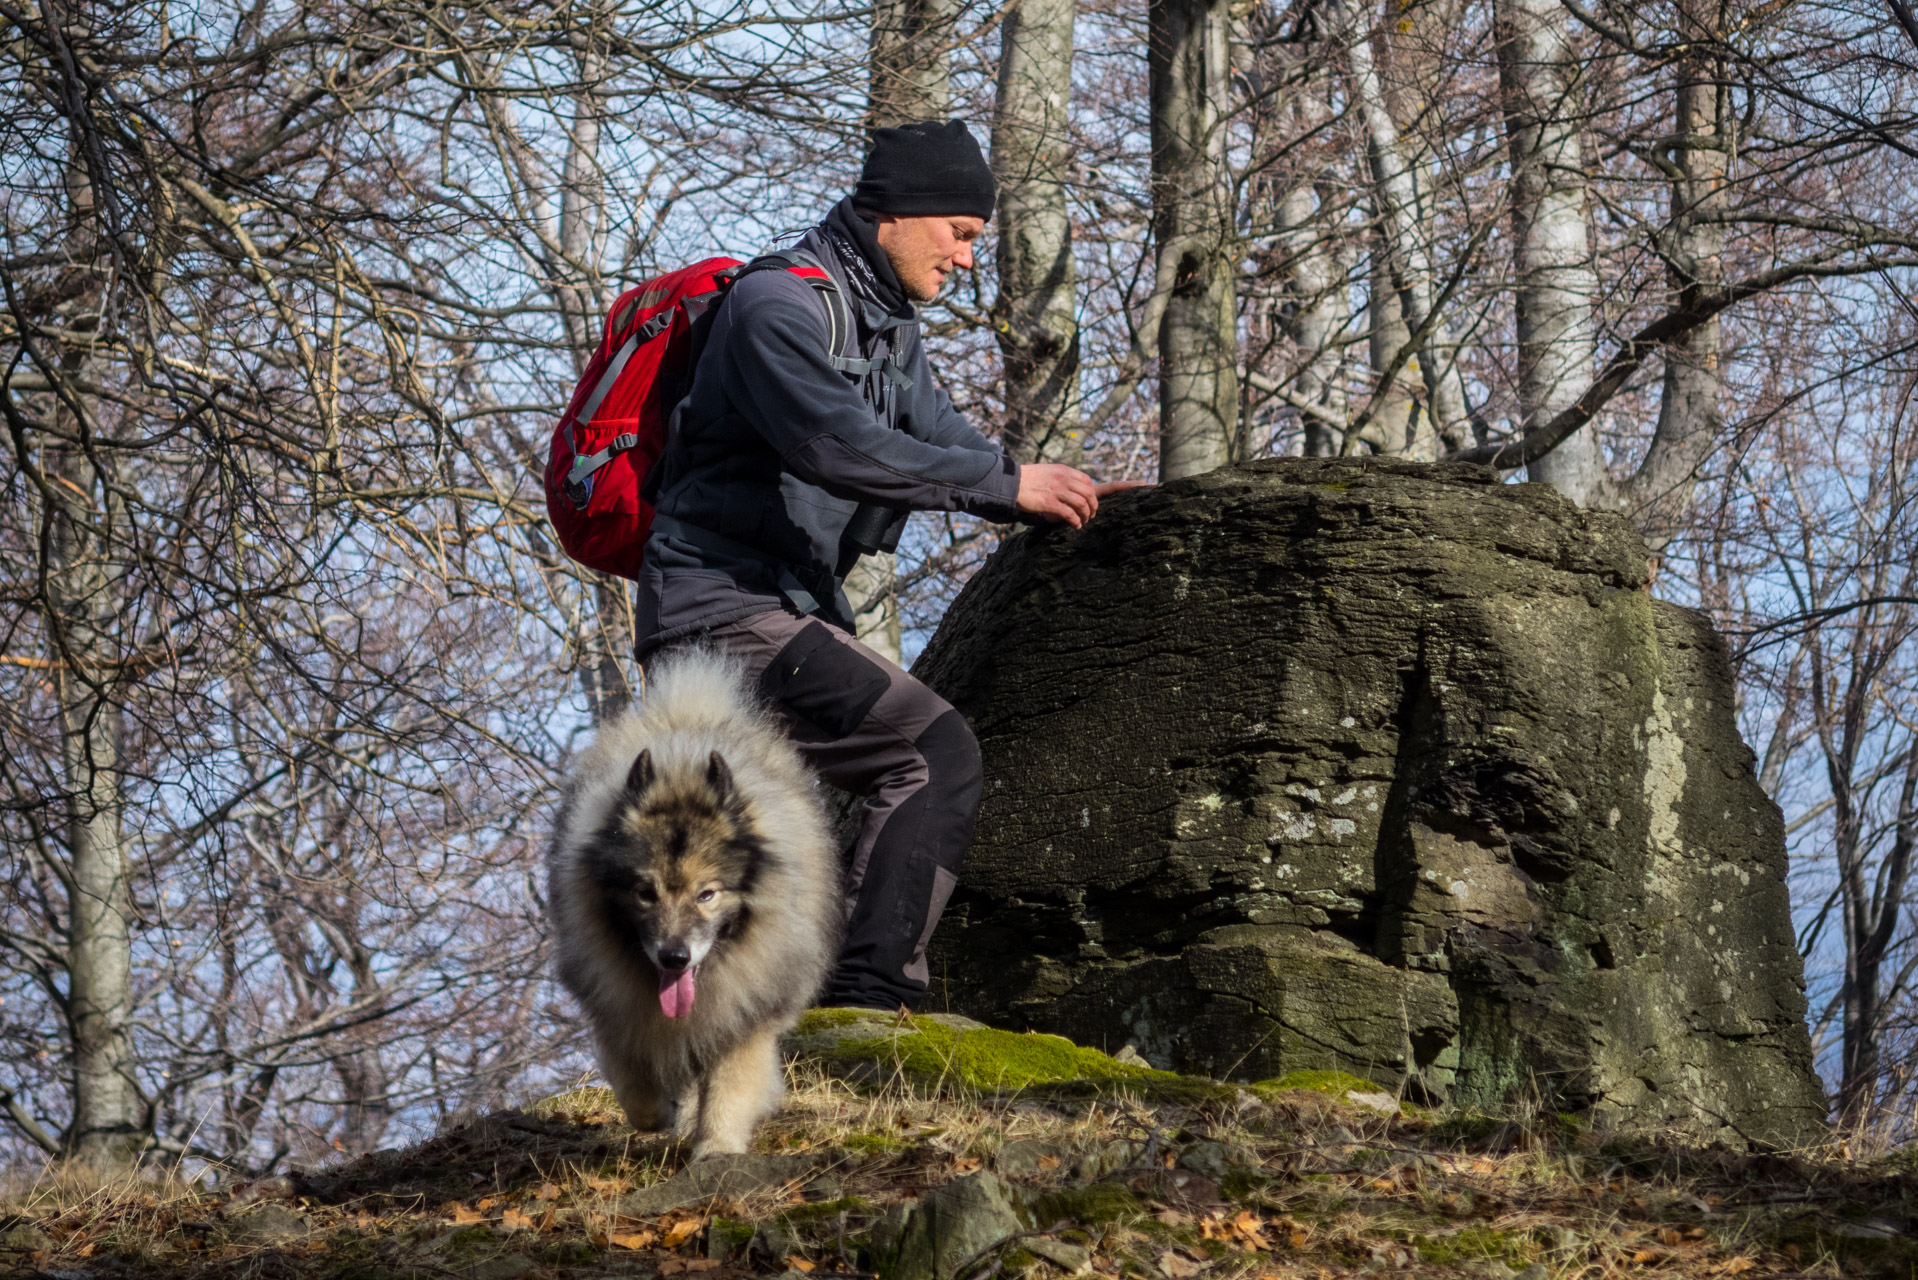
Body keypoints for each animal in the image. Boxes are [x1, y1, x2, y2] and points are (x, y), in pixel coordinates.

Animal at [544, 652, 836, 1159]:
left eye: (707, 894)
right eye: (646, 893)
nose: (674, 957)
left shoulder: (744, 1008)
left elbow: (729, 1085)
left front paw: (717, 1146)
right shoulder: (617, 1007)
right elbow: (636, 1088)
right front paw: (662, 1114)